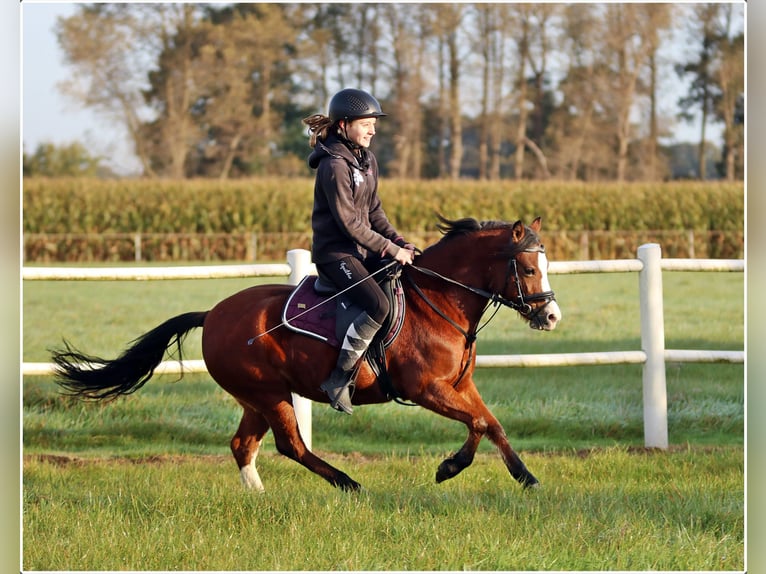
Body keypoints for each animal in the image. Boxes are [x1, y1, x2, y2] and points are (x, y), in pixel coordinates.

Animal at [51, 214, 560, 492]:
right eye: (528, 268)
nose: (551, 317)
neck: (437, 300)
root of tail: (213, 313)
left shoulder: (458, 386)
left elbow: (489, 424)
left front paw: (523, 477)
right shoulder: (426, 389)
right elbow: (479, 424)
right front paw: (451, 467)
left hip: (256, 399)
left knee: (244, 445)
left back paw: (260, 497)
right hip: (269, 394)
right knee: (290, 445)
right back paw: (349, 484)